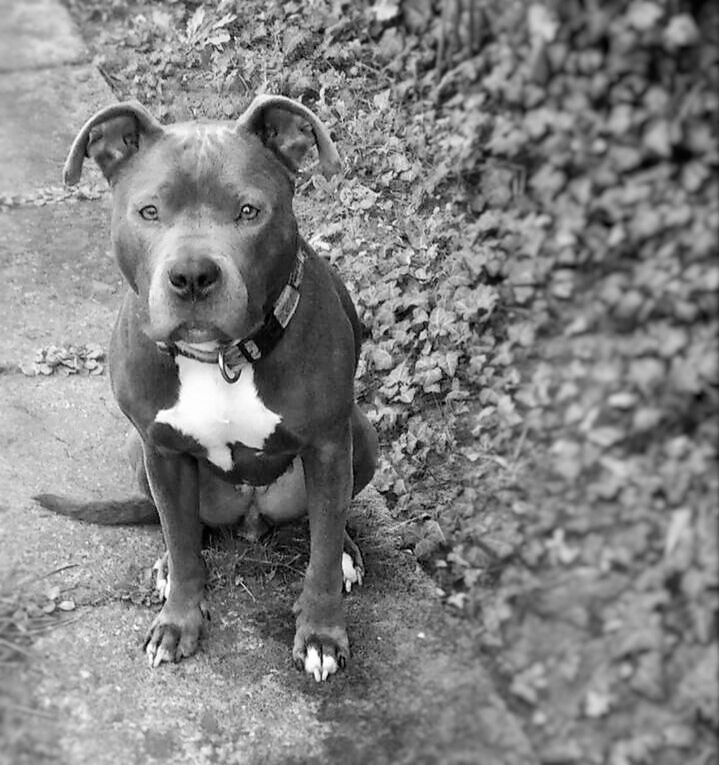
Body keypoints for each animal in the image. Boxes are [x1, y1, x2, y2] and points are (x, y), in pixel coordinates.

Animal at [35, 94, 376, 680]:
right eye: (149, 212)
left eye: (249, 211)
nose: (192, 275)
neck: (220, 359)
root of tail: (252, 520)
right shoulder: (162, 451)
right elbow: (179, 534)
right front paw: (179, 619)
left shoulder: (330, 446)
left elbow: (324, 548)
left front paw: (322, 633)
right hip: (138, 451)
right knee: (181, 529)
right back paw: (168, 564)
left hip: (363, 433)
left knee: (328, 523)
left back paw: (348, 553)